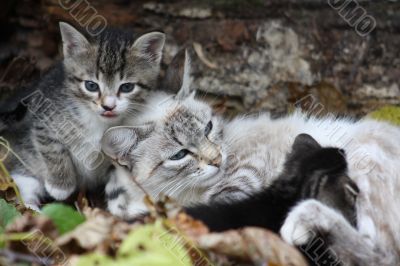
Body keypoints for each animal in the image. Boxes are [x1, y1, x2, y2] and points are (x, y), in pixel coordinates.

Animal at [2, 22, 165, 210]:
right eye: (91, 85)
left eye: (127, 87)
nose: (108, 106)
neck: (99, 123)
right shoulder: (44, 119)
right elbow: (52, 149)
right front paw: (60, 186)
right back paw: (32, 208)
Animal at [101, 51, 400, 264]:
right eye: (180, 154)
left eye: (208, 128)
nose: (216, 160)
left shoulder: (251, 168)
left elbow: (225, 200)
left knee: (382, 255)